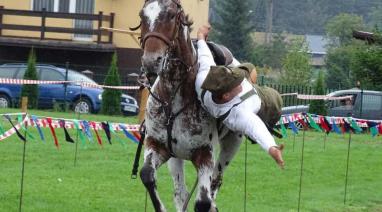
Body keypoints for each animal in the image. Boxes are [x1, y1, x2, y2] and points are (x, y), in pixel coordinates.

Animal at [136, 0, 243, 211]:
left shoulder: (204, 156)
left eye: (170, 15)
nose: (151, 61)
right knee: (181, 193)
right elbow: (147, 175)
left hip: (231, 145)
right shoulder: (158, 146)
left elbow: (203, 201)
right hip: (176, 158)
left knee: (215, 184)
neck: (174, 97)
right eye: (142, 16)